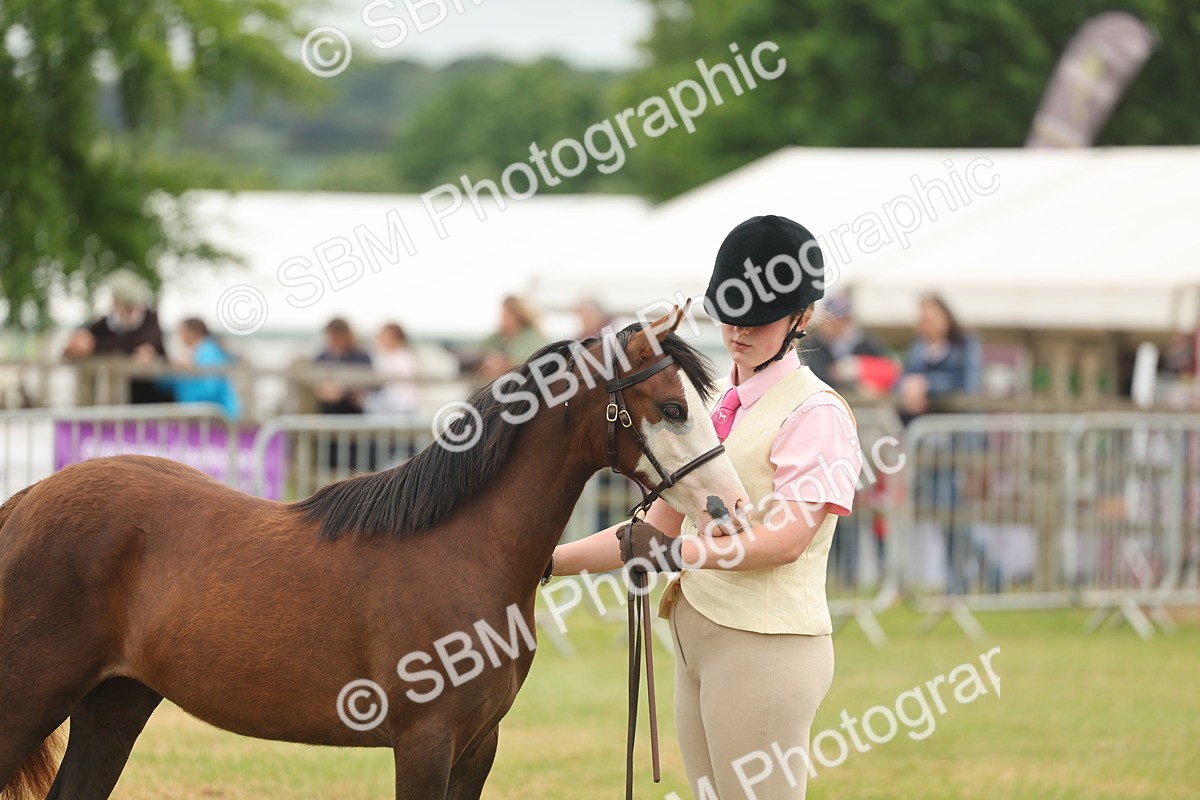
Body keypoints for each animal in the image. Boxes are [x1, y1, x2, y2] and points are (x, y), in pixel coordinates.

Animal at [0, 305, 750, 800]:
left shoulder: (477, 747)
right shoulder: (424, 743)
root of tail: (24, 502)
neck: (462, 549)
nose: (731, 508)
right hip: (29, 700)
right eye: (672, 408)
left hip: (114, 705)